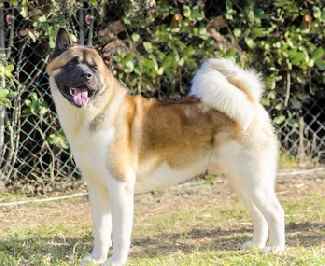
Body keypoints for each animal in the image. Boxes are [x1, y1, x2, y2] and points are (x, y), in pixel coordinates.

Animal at [45, 28, 284, 264]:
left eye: (94, 68)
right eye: (71, 64)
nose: (86, 75)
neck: (95, 113)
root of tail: (249, 101)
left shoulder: (120, 187)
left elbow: (120, 233)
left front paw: (116, 261)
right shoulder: (97, 189)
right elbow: (102, 230)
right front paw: (96, 258)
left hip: (255, 181)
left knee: (275, 212)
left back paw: (276, 248)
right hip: (240, 182)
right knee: (259, 214)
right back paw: (256, 245)